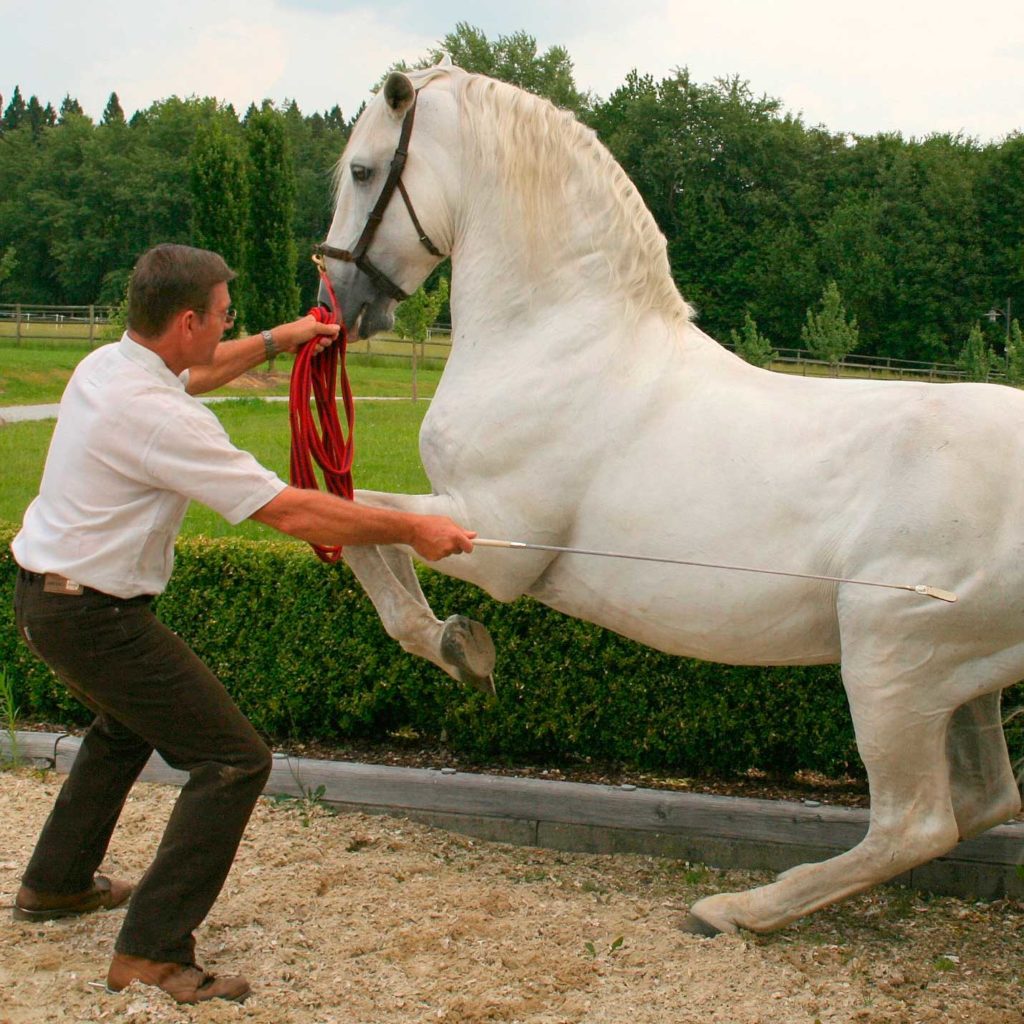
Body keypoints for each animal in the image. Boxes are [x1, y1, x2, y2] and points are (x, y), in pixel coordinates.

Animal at [315, 64, 1019, 937]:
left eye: (362, 170)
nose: (338, 298)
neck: (558, 340)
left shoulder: (496, 541)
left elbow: (356, 521)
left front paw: (458, 648)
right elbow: (357, 520)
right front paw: (458, 645)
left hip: (893, 660)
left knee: (916, 823)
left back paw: (739, 907)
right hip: (959, 678)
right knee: (987, 800)